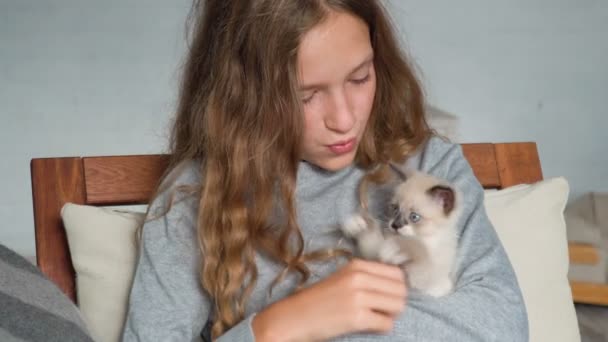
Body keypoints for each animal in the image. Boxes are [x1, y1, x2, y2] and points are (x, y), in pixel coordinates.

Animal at [342, 170, 460, 298]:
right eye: (395, 208)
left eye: (414, 217)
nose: (395, 225)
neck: (424, 239)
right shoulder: (374, 258)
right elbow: (371, 237)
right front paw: (357, 224)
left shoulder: (425, 279)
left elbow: (419, 250)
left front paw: (396, 248)